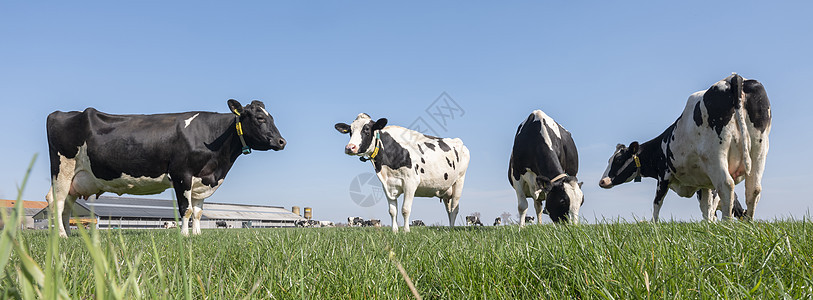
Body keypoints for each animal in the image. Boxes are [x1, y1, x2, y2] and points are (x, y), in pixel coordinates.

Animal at [46, 99, 286, 238]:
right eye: (260, 118)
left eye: (272, 117)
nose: (281, 141)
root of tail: (59, 113)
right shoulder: (182, 175)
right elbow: (186, 209)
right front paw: (185, 236)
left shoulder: (202, 180)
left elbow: (198, 211)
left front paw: (197, 234)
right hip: (62, 170)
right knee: (57, 202)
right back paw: (61, 235)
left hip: (76, 179)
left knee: (66, 205)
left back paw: (69, 234)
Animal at [334, 113, 470, 233]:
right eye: (350, 131)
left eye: (366, 129)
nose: (350, 147)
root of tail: (458, 141)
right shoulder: (387, 185)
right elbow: (392, 210)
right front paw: (394, 231)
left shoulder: (411, 182)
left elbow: (405, 209)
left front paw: (406, 231)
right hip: (446, 189)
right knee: (449, 209)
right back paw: (449, 228)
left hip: (459, 181)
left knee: (454, 208)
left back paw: (451, 230)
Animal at [600, 74, 772, 221]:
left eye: (618, 159)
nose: (602, 181)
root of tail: (734, 77)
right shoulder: (705, 184)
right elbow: (706, 208)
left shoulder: (664, 176)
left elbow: (657, 203)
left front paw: (654, 226)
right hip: (759, 149)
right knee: (754, 189)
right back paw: (748, 225)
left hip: (715, 155)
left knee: (726, 185)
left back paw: (727, 225)